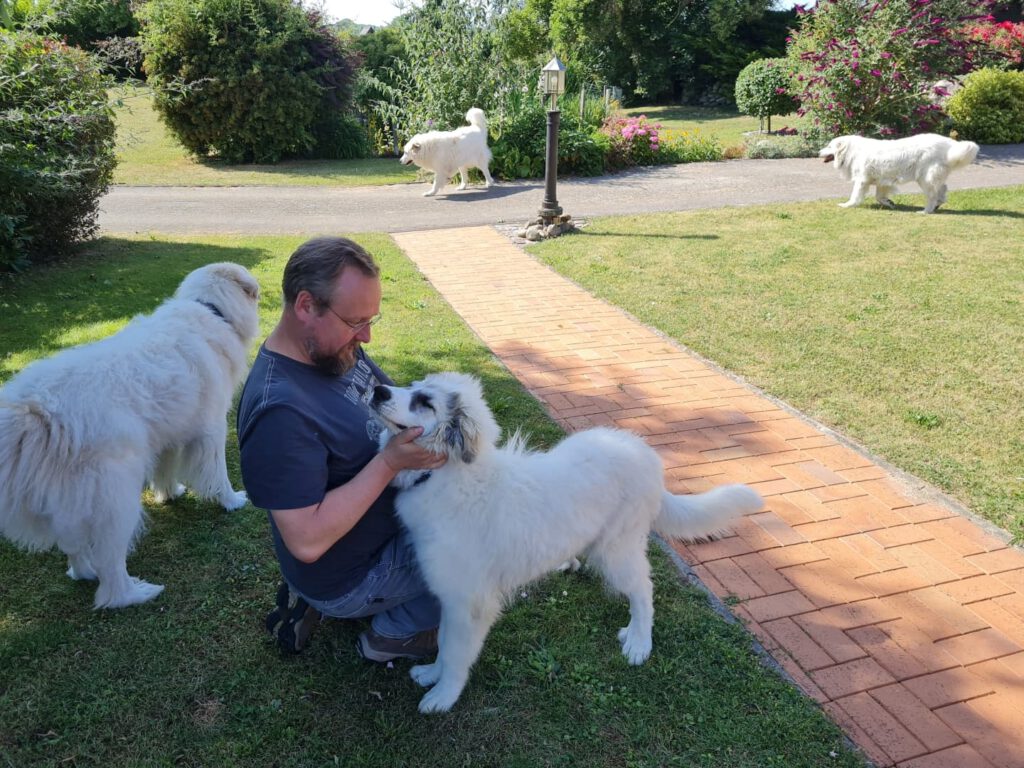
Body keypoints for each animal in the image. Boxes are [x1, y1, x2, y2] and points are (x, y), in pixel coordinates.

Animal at [0, 262, 262, 610]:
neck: (210, 309)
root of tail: (33, 407)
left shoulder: (168, 436)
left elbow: (165, 470)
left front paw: (170, 494)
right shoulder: (212, 430)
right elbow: (217, 474)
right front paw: (231, 501)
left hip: (73, 503)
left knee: (74, 547)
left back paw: (84, 573)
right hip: (117, 499)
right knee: (111, 574)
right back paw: (136, 593)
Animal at [372, 372, 765, 716]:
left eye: (425, 402)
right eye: (412, 385)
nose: (377, 390)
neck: (446, 475)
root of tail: (646, 455)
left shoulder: (468, 602)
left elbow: (454, 651)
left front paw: (442, 694)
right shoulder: (452, 597)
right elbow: (443, 643)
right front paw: (431, 674)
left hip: (616, 549)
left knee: (643, 589)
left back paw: (639, 641)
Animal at [819, 134, 978, 214]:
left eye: (829, 146)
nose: (818, 152)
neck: (851, 151)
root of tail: (950, 145)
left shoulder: (862, 180)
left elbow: (855, 196)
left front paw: (847, 205)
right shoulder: (881, 180)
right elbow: (879, 196)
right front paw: (889, 203)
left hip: (925, 179)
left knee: (933, 196)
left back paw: (925, 211)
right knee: (942, 190)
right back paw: (937, 205)